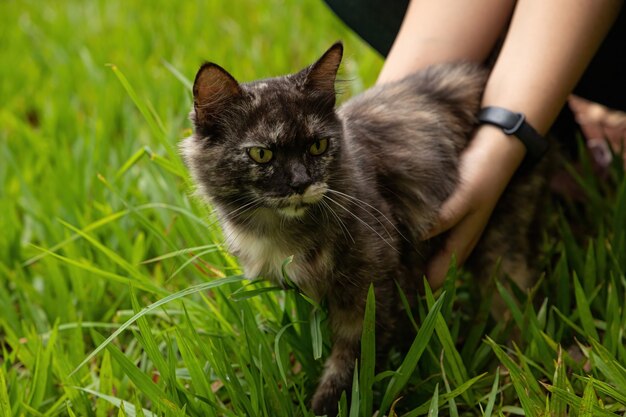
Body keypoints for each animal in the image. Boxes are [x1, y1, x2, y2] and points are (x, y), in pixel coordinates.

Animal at [178, 43, 544, 416]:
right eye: (261, 154)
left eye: (318, 146)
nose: (300, 183)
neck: (281, 229)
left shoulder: (370, 296)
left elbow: (349, 370)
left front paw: (327, 407)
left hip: (502, 257)